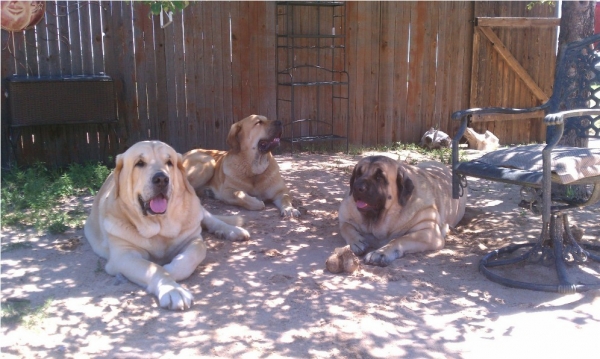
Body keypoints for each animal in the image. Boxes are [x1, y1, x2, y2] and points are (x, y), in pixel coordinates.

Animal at [84, 141, 248, 312]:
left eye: (169, 162)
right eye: (139, 163)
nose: (161, 179)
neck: (158, 225)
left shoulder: (194, 239)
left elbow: (195, 252)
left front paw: (171, 270)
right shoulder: (124, 255)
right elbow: (155, 269)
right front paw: (172, 288)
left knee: (210, 219)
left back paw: (232, 231)